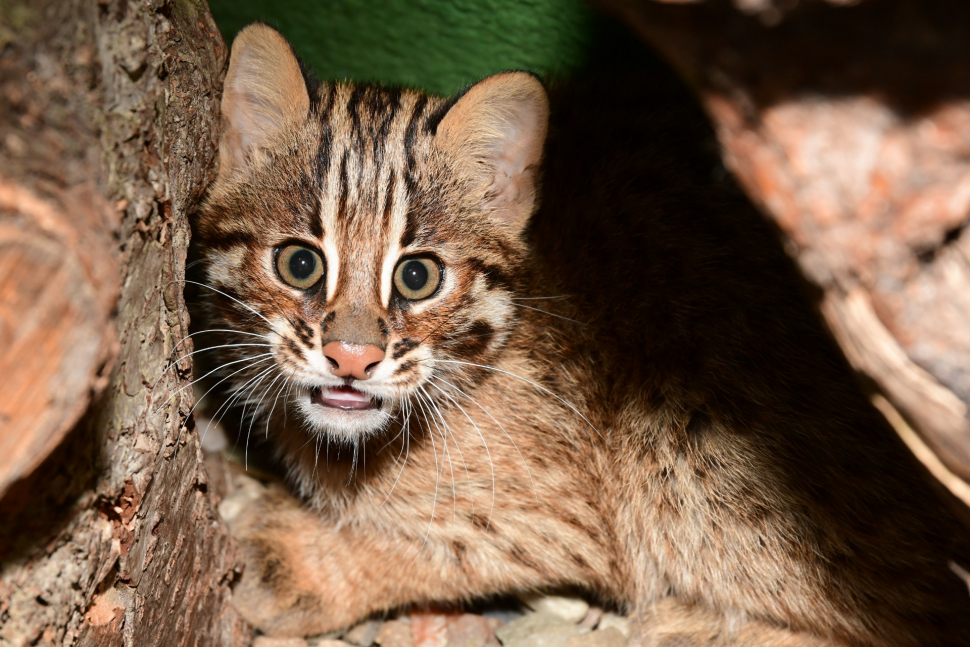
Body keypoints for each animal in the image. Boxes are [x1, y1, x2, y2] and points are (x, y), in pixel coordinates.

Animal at [195, 24, 968, 647]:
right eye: (299, 264)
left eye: (418, 276)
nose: (352, 357)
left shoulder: (571, 514)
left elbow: (457, 547)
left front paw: (294, 562)